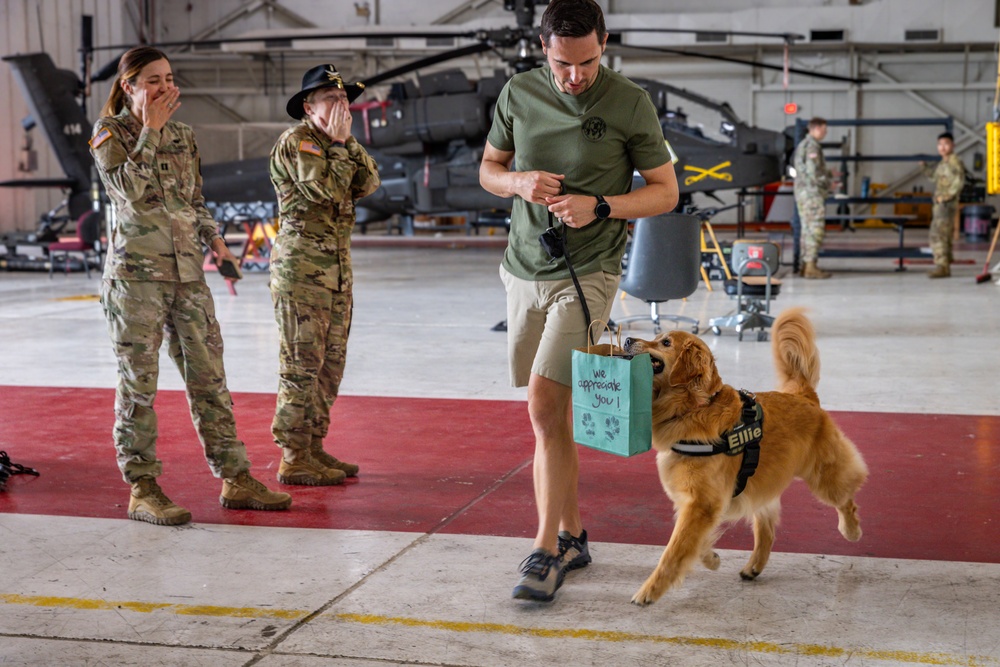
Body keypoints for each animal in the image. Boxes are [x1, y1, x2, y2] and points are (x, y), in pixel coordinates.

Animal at [624, 308, 868, 604]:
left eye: (665, 342)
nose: (627, 340)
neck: (693, 407)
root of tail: (803, 395)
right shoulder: (699, 503)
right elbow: (694, 541)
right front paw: (711, 558)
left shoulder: (702, 502)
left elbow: (674, 550)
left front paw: (650, 590)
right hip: (761, 483)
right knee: (767, 530)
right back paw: (754, 566)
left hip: (824, 475)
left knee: (846, 498)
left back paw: (851, 530)